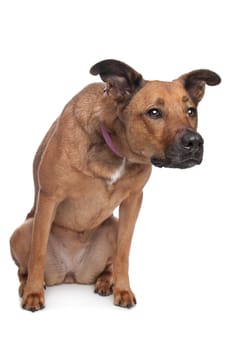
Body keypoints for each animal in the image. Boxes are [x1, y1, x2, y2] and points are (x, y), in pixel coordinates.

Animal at [9, 59, 220, 312]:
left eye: (191, 111)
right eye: (154, 112)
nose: (195, 142)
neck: (117, 151)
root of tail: (71, 274)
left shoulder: (133, 201)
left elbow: (123, 253)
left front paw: (123, 290)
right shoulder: (50, 197)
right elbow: (38, 252)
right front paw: (33, 293)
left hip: (112, 225)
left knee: (108, 264)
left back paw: (104, 282)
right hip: (23, 230)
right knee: (24, 267)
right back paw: (29, 285)